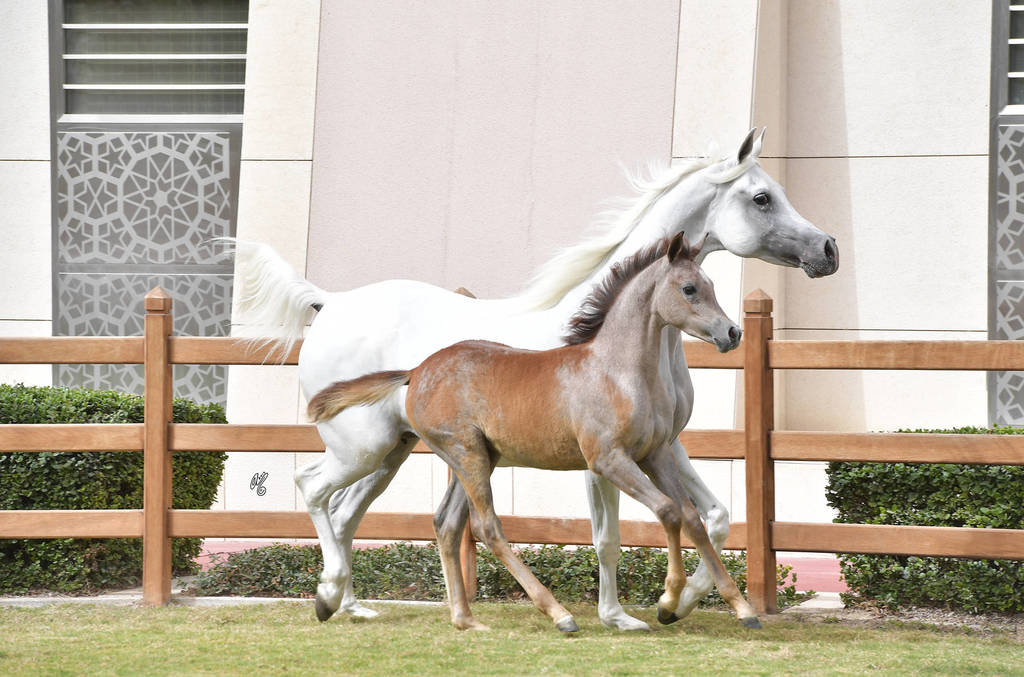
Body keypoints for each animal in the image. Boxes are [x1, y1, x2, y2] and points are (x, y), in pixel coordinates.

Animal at [307, 232, 761, 632]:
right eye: (689, 288)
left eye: (711, 285)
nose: (732, 332)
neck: (618, 372)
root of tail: (416, 371)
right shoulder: (608, 459)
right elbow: (667, 511)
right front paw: (668, 600)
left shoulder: (656, 453)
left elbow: (691, 517)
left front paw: (739, 609)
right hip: (463, 455)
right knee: (486, 527)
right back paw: (558, 614)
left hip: (474, 458)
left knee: (447, 524)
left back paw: (464, 618)